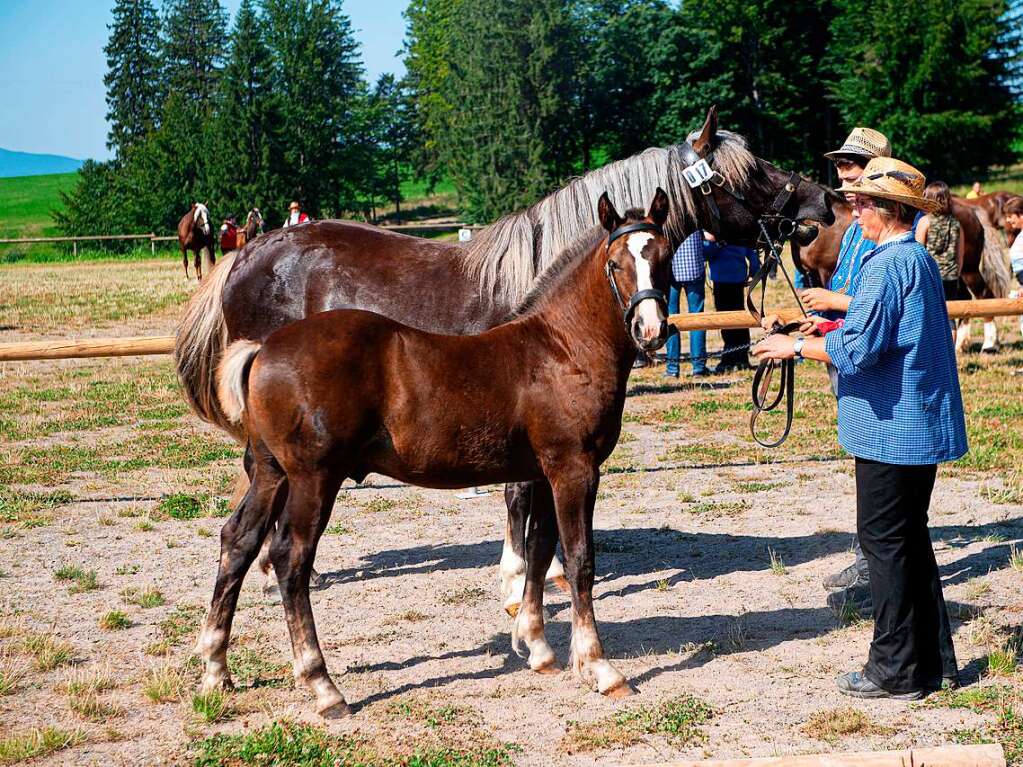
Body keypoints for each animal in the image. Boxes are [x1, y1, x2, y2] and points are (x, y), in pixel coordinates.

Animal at [199, 189, 679, 719]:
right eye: (615, 263)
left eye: (664, 255)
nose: (652, 329)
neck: (560, 348)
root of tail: (264, 349)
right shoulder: (575, 470)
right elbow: (579, 560)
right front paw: (599, 667)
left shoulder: (542, 473)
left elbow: (537, 552)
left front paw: (538, 647)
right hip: (313, 480)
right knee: (291, 559)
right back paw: (322, 685)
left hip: (271, 474)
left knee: (238, 541)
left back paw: (216, 669)